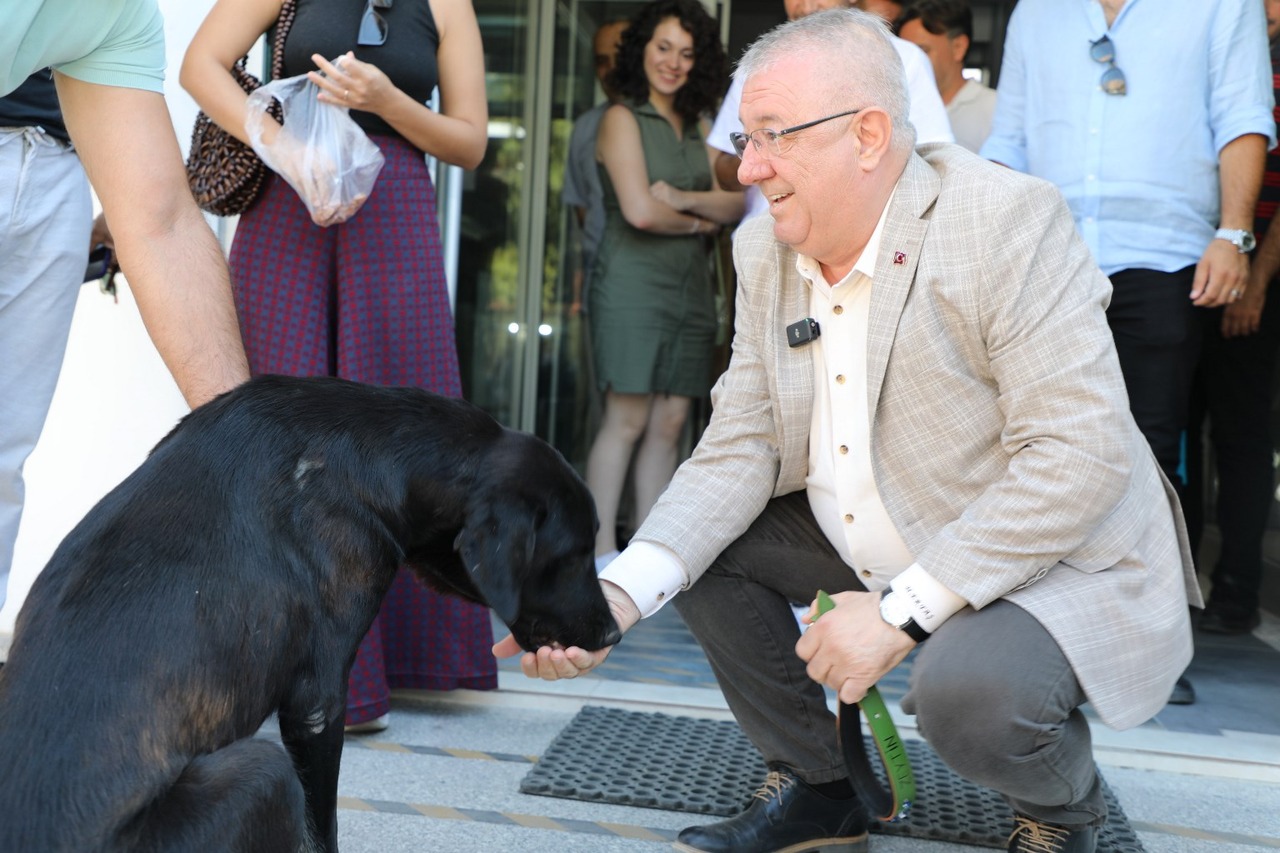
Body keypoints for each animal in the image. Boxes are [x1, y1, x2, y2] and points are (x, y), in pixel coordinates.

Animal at [0, 379, 622, 850]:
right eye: (573, 554)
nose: (615, 631)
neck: (376, 449)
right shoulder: (316, 703)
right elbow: (322, 829)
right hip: (264, 770)